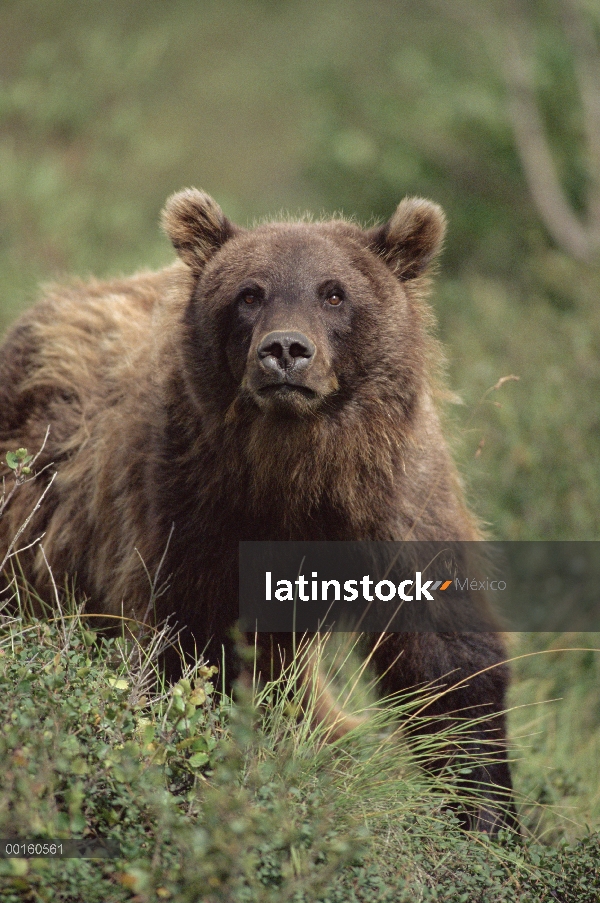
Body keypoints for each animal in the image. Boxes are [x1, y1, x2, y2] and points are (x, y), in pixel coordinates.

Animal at [0, 189, 516, 832]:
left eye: (334, 292)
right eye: (250, 294)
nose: (285, 351)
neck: (297, 472)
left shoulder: (398, 500)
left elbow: (447, 654)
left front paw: (488, 814)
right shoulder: (197, 509)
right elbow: (202, 650)